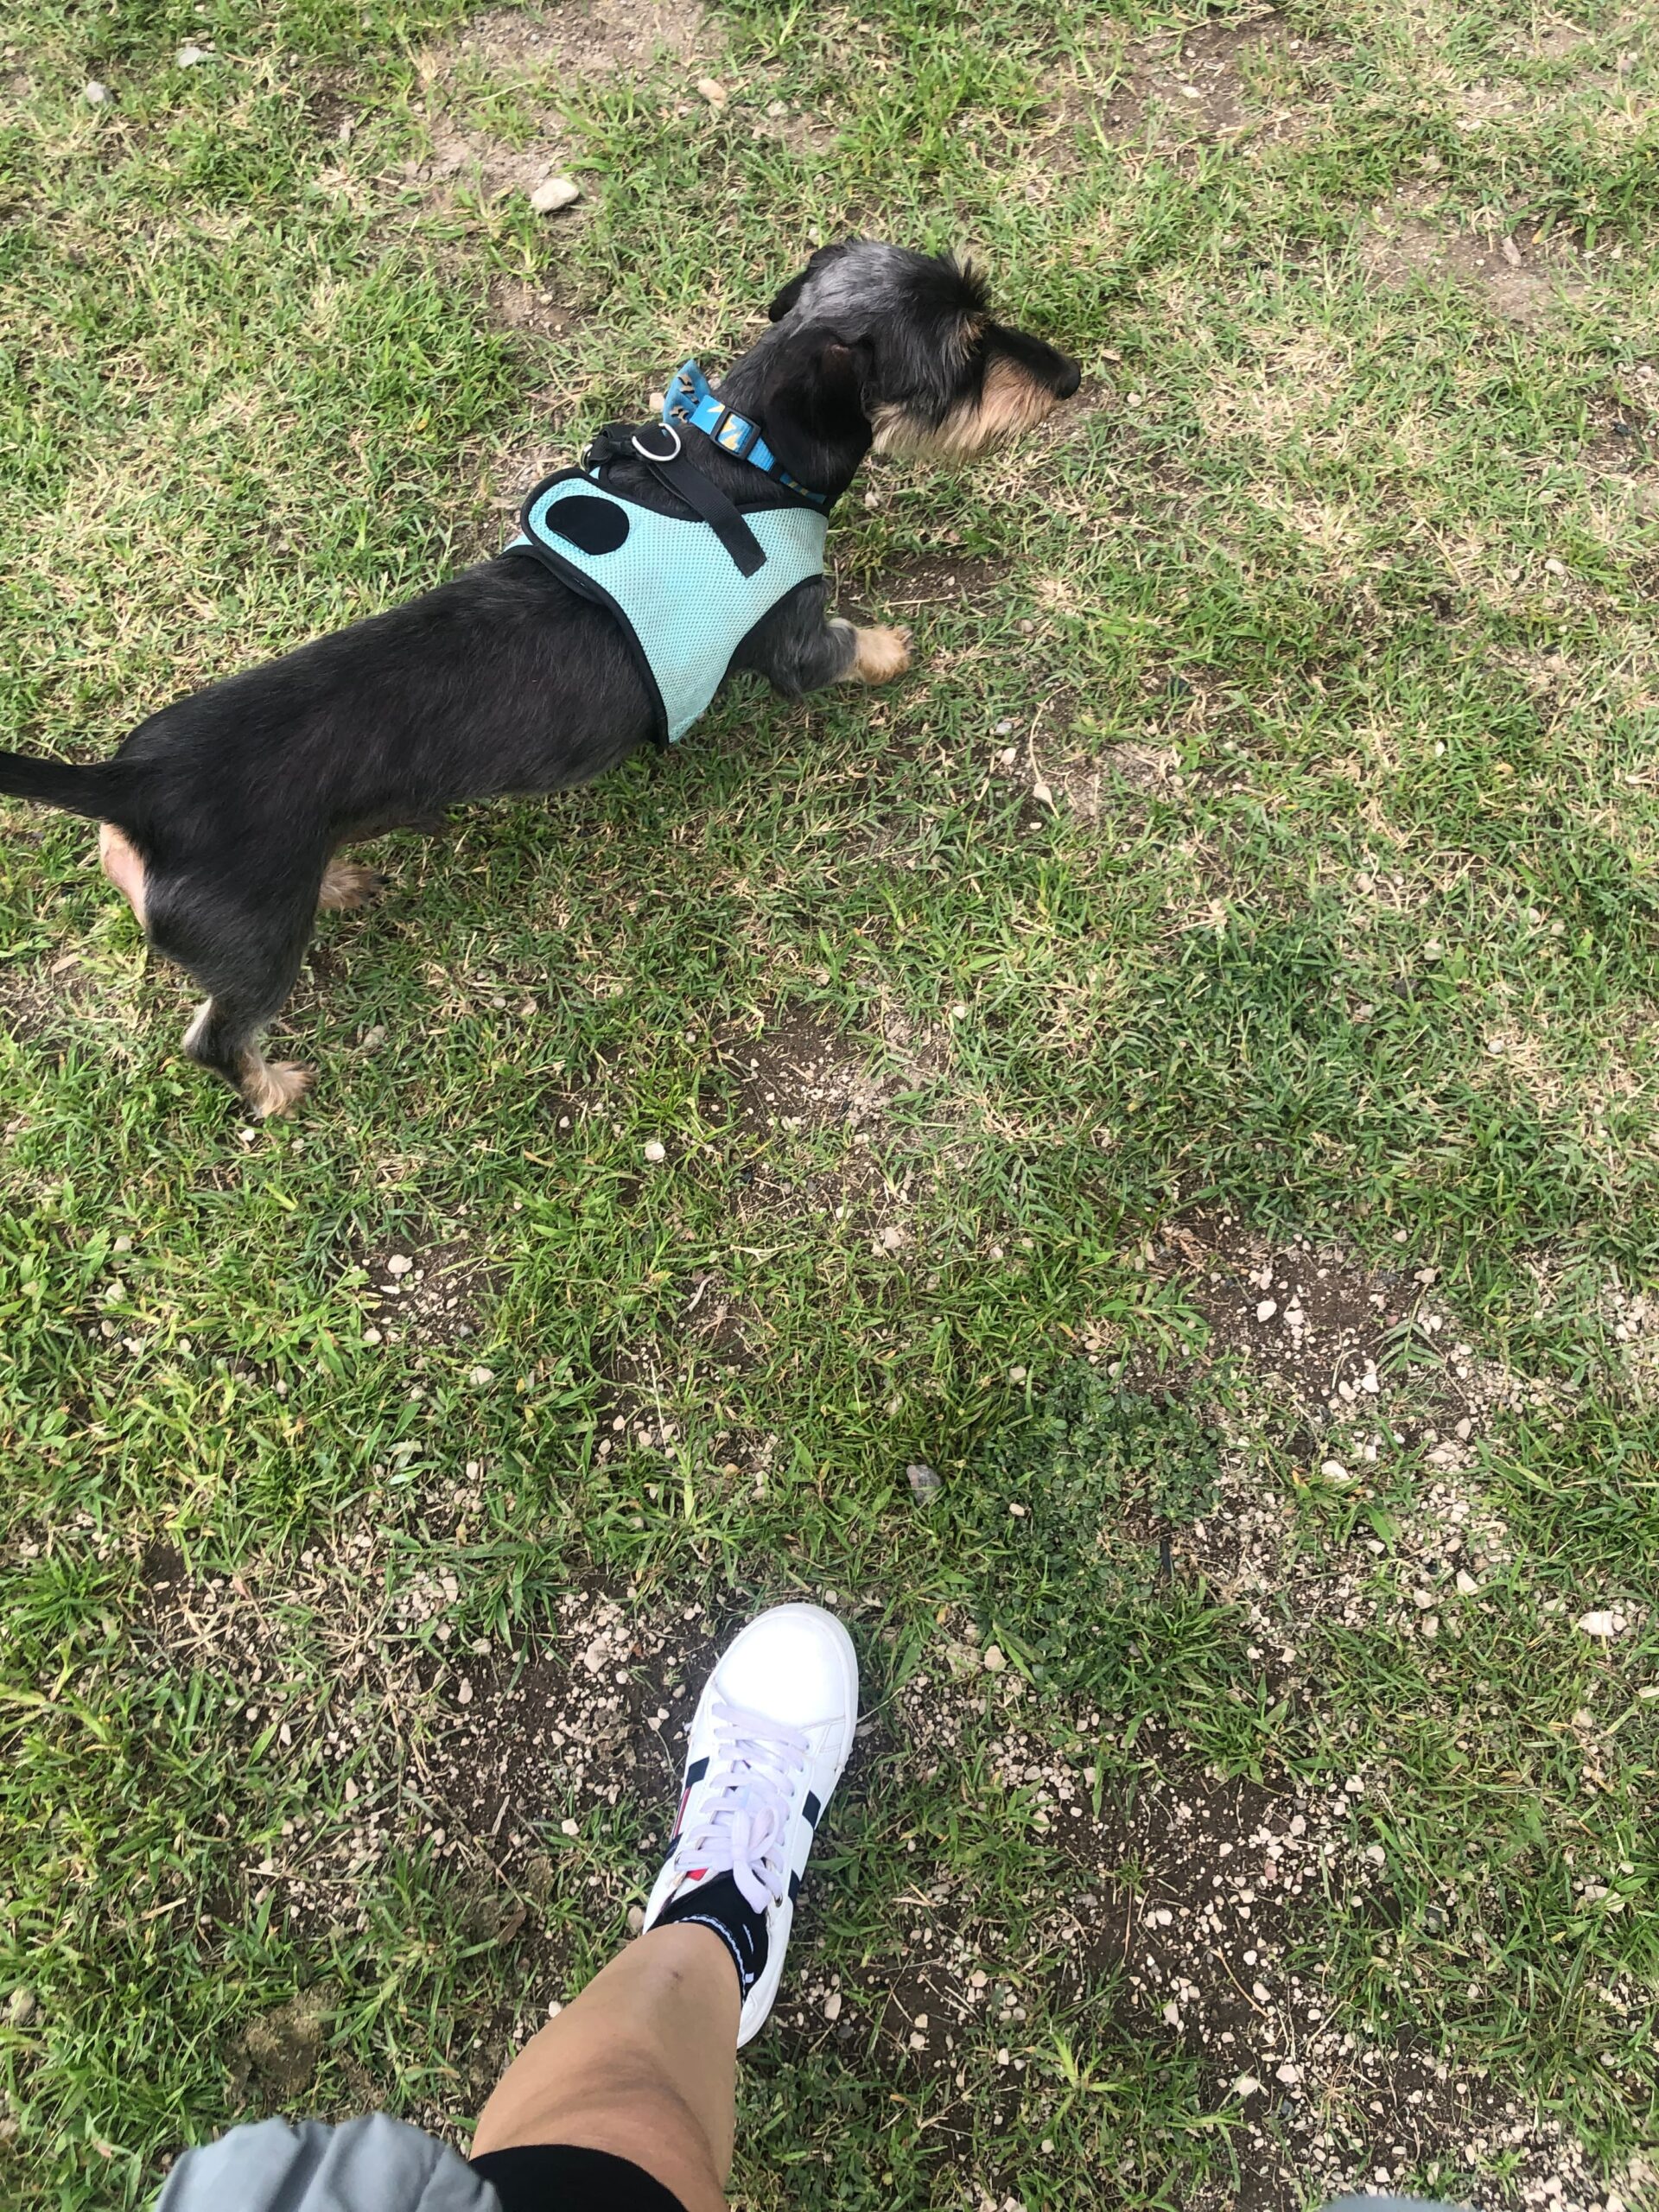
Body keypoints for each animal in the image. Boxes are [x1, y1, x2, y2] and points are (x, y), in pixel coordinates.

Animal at [0, 242, 1084, 1115]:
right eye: (966, 354)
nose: (1072, 376)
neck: (743, 463)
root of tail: (133, 787)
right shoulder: (794, 641)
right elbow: (848, 648)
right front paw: (897, 649)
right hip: (258, 950)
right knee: (215, 1036)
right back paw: (271, 1088)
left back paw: (340, 878)